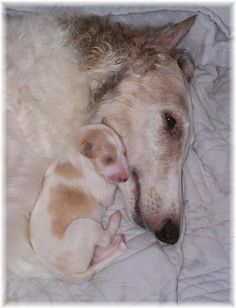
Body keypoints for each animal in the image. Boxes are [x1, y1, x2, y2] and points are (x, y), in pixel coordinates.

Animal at [30, 122, 129, 284]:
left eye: (124, 152)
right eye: (108, 159)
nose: (126, 178)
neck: (76, 155)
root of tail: (65, 274)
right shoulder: (106, 193)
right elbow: (111, 187)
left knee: (98, 254)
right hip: (85, 226)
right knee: (106, 239)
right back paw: (115, 221)